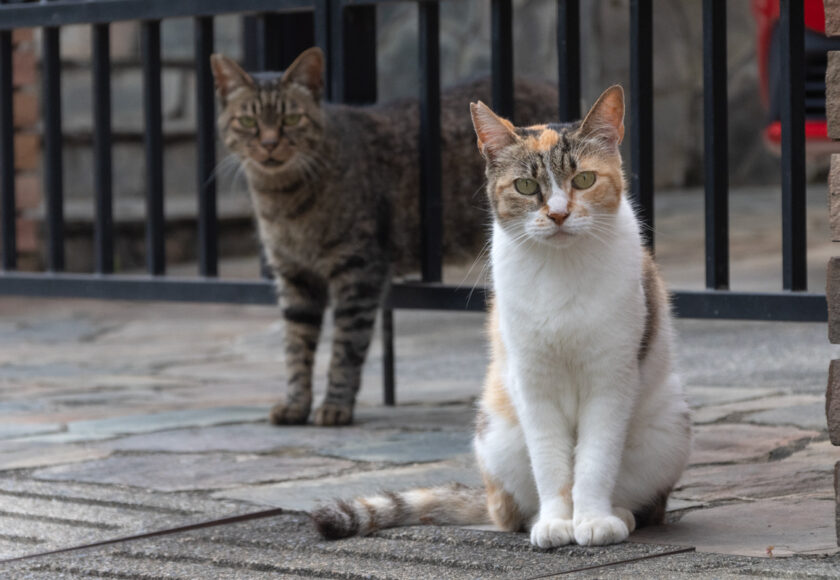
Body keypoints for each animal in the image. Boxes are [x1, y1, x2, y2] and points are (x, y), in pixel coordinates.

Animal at [213, 48, 560, 426]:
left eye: (291, 119)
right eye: (248, 122)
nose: (268, 143)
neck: (282, 200)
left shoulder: (358, 269)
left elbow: (345, 348)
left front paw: (334, 406)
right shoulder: (294, 276)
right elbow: (295, 346)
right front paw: (295, 404)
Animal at [312, 85, 692, 544]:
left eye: (584, 180)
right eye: (526, 187)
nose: (558, 214)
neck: (561, 271)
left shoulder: (611, 377)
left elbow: (595, 458)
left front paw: (593, 519)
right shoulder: (531, 380)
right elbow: (550, 461)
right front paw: (555, 522)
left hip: (668, 431)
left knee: (646, 501)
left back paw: (620, 513)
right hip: (497, 434)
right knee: (508, 512)